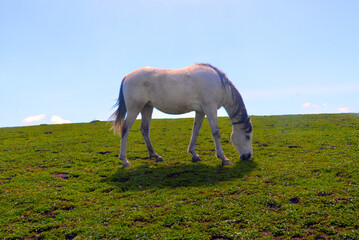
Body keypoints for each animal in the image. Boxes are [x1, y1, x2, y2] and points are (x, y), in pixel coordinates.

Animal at [112, 63, 253, 169]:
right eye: (247, 136)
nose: (248, 156)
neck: (219, 84)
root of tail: (127, 77)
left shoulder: (201, 111)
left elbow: (195, 131)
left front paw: (194, 154)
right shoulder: (210, 108)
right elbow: (216, 133)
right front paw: (224, 158)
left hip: (147, 107)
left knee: (144, 130)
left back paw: (155, 156)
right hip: (134, 108)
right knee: (125, 130)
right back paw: (125, 161)